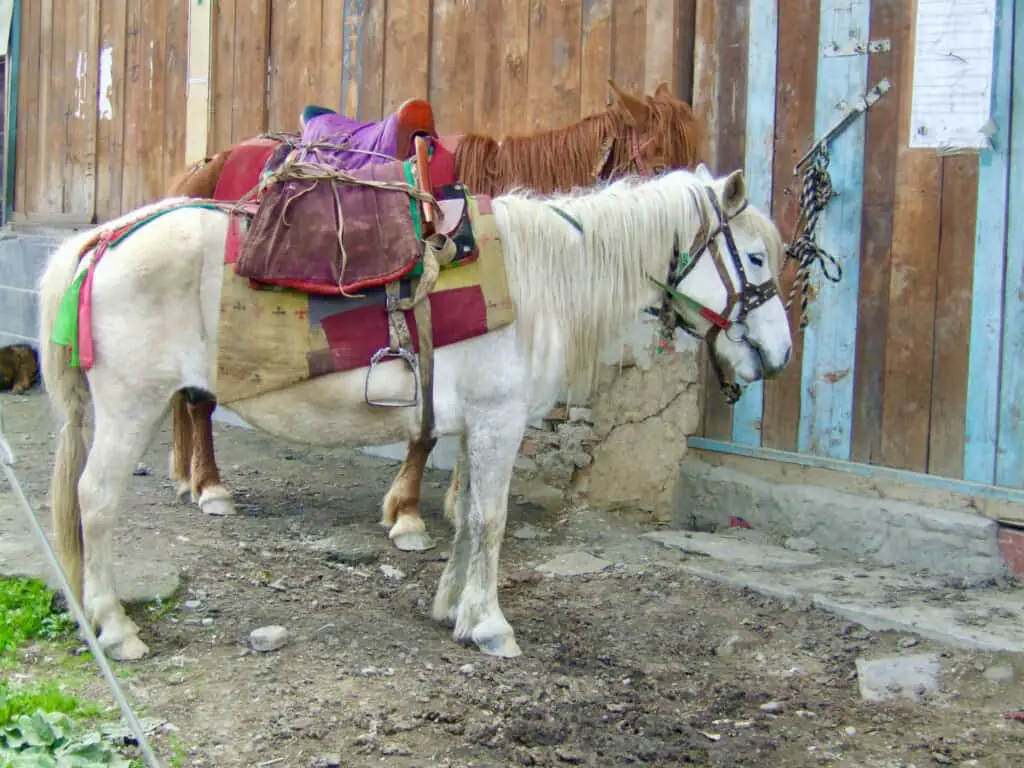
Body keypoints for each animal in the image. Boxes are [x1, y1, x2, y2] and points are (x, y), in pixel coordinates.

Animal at [37, 162, 790, 663]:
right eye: (754, 257)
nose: (778, 355)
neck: (536, 279)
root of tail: (106, 239)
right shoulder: (499, 422)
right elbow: (490, 521)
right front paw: (491, 625)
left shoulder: (476, 426)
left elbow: (466, 518)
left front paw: (453, 608)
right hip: (130, 407)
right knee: (95, 501)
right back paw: (116, 628)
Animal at [165, 81, 704, 548]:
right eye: (658, 163)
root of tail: (211, 163)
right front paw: (409, 515)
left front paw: (456, 503)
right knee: (199, 400)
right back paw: (210, 487)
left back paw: (186, 476)